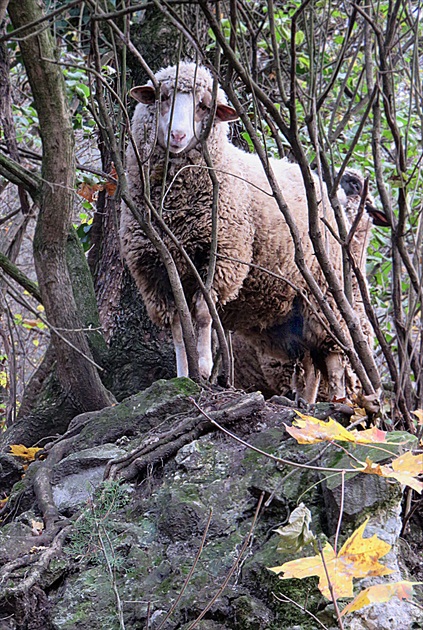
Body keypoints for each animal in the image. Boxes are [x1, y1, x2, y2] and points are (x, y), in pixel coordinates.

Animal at [119, 61, 372, 402]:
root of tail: (318, 182)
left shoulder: (221, 258)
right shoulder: (157, 270)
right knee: (309, 360)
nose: (177, 135)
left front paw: (203, 366)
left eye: (204, 107)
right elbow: (178, 326)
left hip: (325, 292)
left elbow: (202, 314)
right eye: (162, 97)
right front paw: (183, 375)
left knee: (333, 353)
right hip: (292, 310)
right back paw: (305, 402)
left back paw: (338, 401)